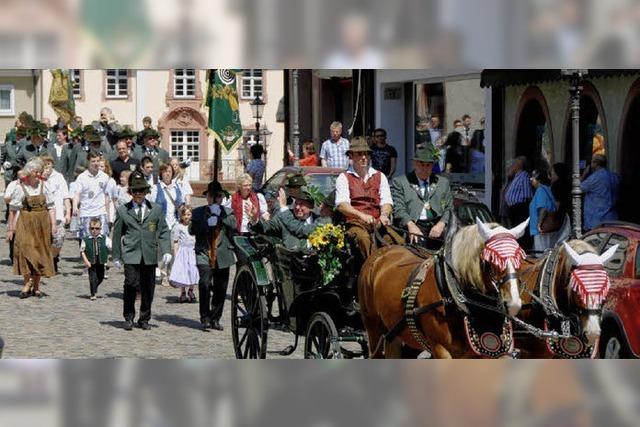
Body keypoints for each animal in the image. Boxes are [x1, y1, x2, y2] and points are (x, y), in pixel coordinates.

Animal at [358, 219, 528, 360]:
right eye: (492, 259)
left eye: (520, 259)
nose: (513, 304)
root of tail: (381, 251)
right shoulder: (441, 350)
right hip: (372, 326)